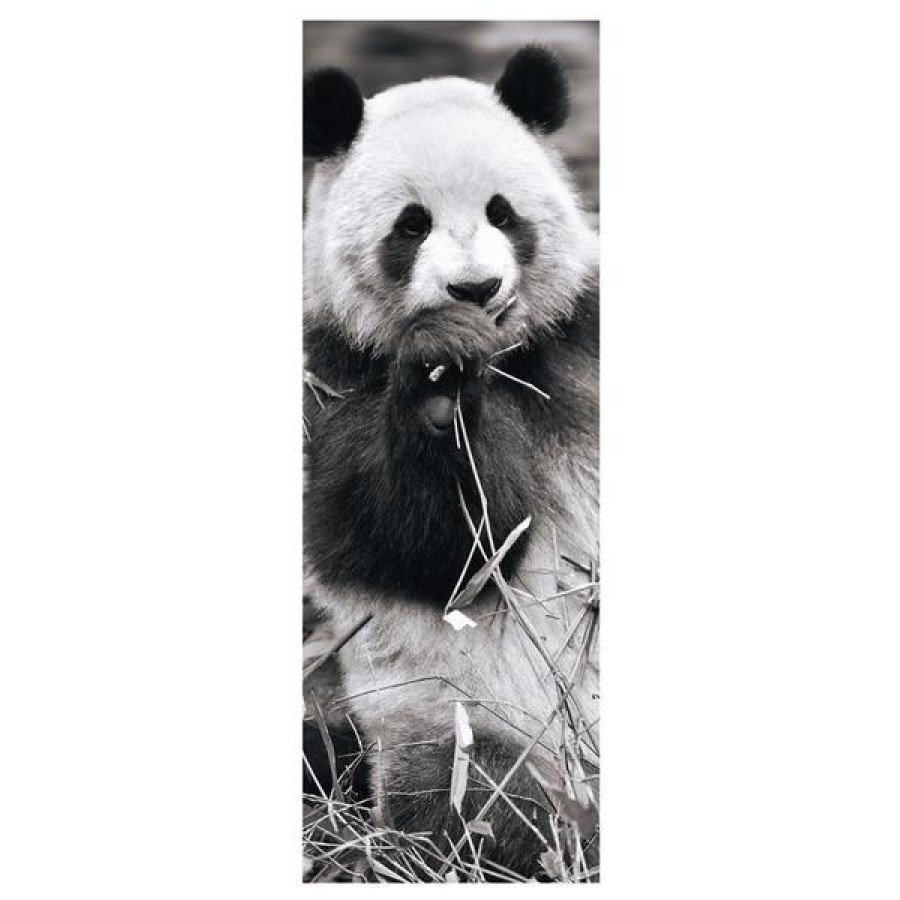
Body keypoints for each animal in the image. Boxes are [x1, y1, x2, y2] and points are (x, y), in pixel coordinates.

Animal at [303, 45, 599, 881]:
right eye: (412, 225)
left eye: (504, 213)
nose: (475, 288)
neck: (507, 357)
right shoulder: (332, 377)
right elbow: (428, 548)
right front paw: (440, 386)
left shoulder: (585, 338)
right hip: (457, 719)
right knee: (483, 807)